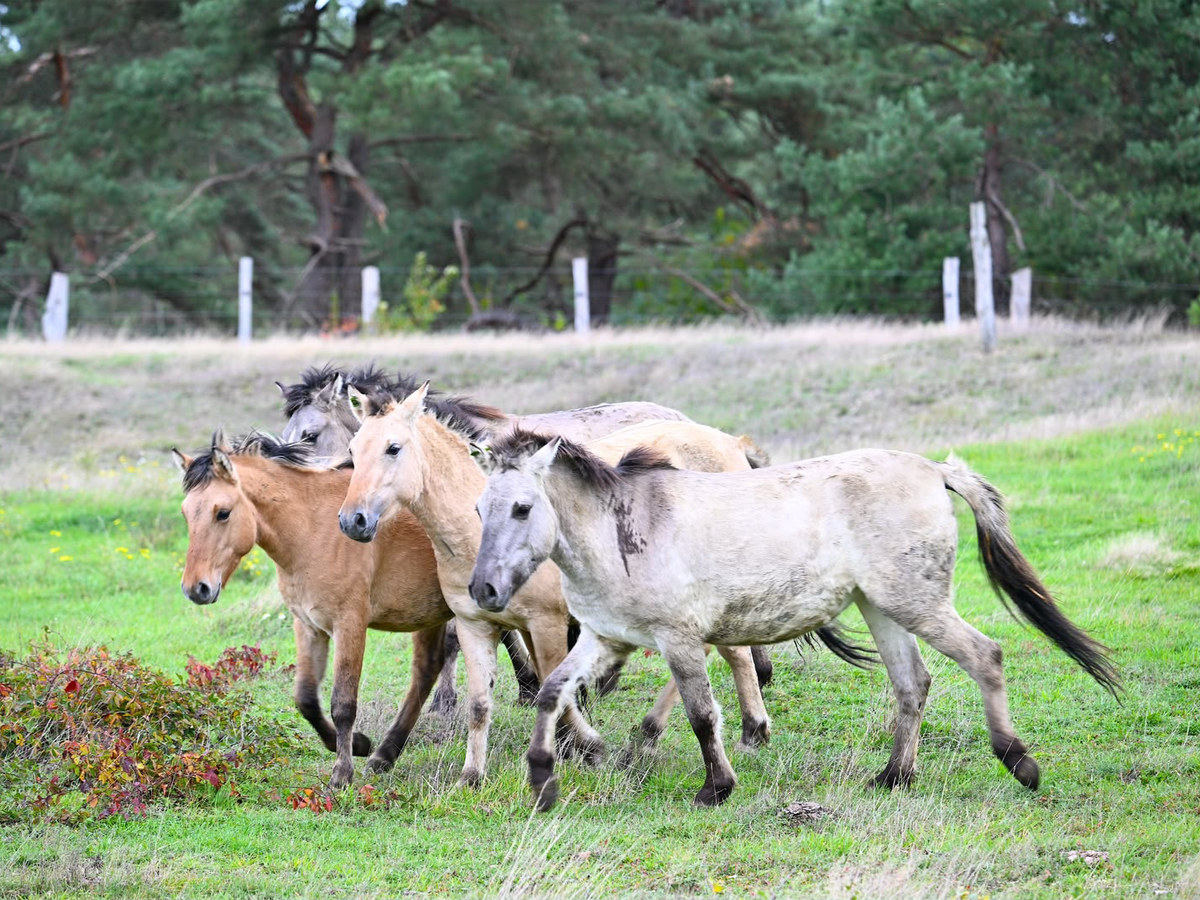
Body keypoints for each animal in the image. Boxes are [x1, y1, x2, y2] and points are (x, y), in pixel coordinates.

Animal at [173, 430, 453, 790]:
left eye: (223, 512)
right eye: (186, 513)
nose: (196, 588)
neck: (315, 528)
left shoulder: (349, 625)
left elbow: (343, 703)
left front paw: (341, 774)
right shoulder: (308, 625)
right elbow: (305, 698)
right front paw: (359, 744)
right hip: (430, 616)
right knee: (427, 669)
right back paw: (384, 755)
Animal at [335, 384, 803, 783]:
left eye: (393, 448)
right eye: (354, 449)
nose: (353, 520)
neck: (476, 527)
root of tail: (731, 444)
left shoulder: (547, 622)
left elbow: (551, 685)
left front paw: (584, 747)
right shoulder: (475, 623)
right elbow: (480, 703)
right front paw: (473, 775)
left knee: (727, 653)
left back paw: (721, 731)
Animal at [467, 430, 1121, 811]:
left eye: (522, 508)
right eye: (478, 506)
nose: (483, 589)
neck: (620, 528)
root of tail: (935, 470)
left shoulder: (679, 640)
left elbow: (702, 715)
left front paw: (716, 788)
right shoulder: (606, 640)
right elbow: (552, 692)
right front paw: (542, 779)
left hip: (917, 604)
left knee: (985, 656)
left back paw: (1020, 763)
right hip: (881, 608)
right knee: (913, 684)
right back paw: (894, 777)